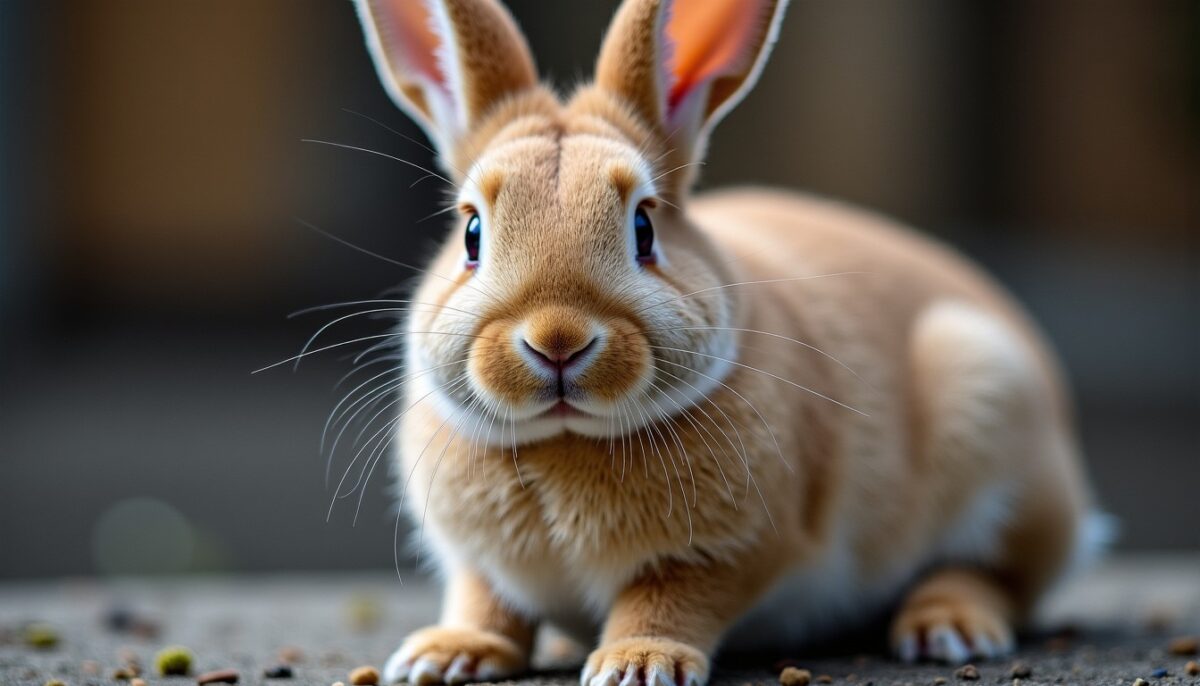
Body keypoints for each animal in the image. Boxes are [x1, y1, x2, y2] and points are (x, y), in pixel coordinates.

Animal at [347, 0, 1105, 684]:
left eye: (644, 228)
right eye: (472, 233)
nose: (556, 341)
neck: (565, 439)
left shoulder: (727, 554)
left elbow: (669, 601)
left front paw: (637, 664)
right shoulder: (478, 566)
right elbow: (487, 603)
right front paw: (444, 656)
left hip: (993, 403)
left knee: (995, 574)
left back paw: (946, 629)